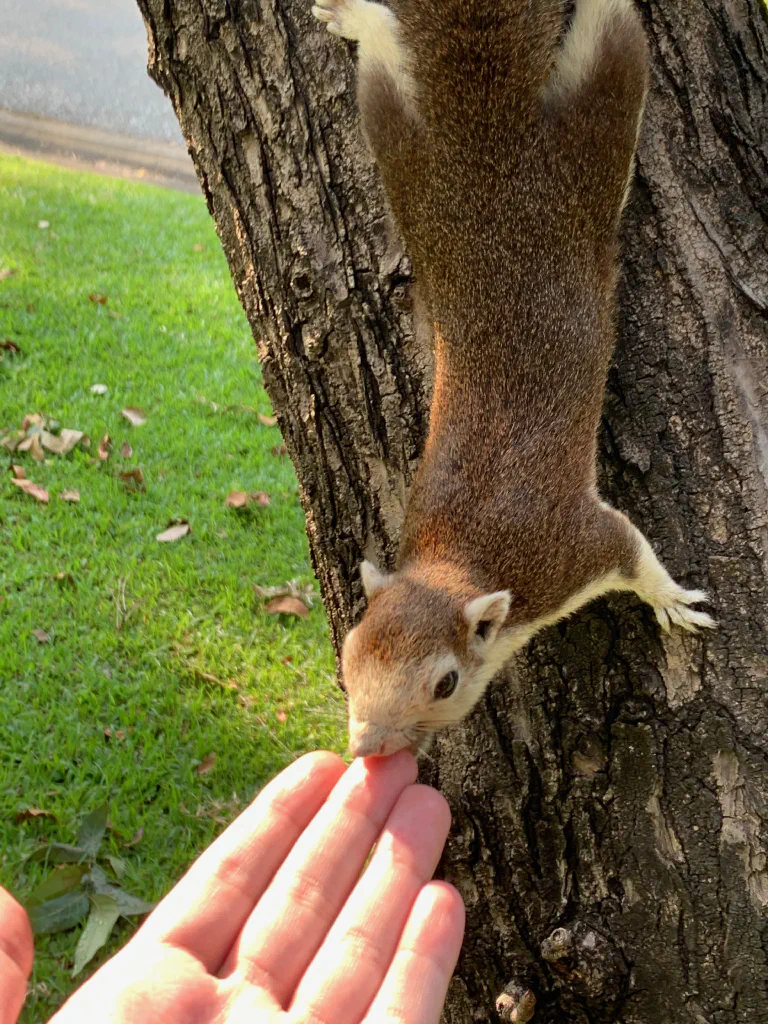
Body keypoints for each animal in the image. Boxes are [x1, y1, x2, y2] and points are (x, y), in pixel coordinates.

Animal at [309, 0, 720, 757]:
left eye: (444, 683)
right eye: (347, 658)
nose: (366, 748)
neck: (460, 558)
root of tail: (486, 143)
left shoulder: (569, 554)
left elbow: (633, 550)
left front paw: (672, 599)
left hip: (594, 135)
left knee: (614, 30)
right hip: (402, 147)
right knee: (385, 59)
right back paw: (355, 20)